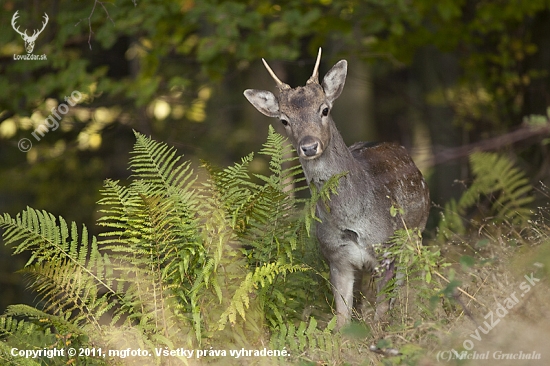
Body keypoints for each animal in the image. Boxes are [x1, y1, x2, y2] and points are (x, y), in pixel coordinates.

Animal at [245, 48, 432, 326]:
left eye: (324, 110)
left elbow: (380, 313)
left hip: (415, 233)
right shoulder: (336, 257)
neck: (352, 219)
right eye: (284, 120)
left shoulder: (385, 251)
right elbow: (343, 319)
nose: (309, 146)